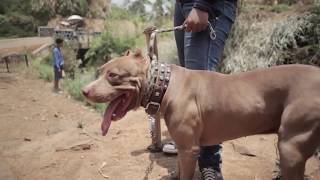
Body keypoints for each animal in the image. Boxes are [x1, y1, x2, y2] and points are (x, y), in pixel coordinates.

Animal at [82, 49, 320, 180]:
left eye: (113, 75)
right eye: (100, 71)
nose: (84, 90)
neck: (165, 84)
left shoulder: (190, 149)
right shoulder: (183, 146)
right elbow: (179, 169)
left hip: (290, 148)